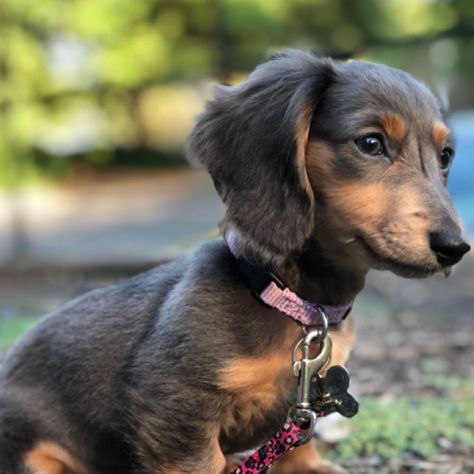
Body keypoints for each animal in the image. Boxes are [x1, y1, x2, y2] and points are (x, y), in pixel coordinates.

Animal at [0, 51, 466, 474]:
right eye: (370, 143)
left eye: (445, 156)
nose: (456, 248)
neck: (292, 302)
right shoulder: (174, 407)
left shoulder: (302, 400)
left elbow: (298, 440)